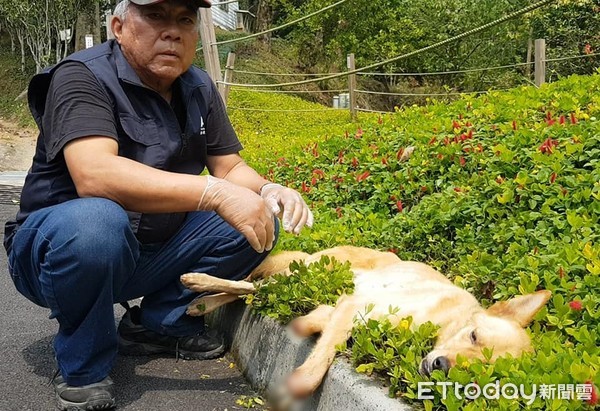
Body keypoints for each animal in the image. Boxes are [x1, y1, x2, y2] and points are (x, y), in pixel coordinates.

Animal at [180, 246, 552, 400]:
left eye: (476, 377)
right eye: (473, 336)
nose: (441, 366)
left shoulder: (347, 305)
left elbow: (325, 323)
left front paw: (306, 324)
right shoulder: (357, 305)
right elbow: (328, 348)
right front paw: (302, 381)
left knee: (252, 291)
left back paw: (201, 302)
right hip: (309, 272)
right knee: (249, 284)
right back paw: (198, 284)